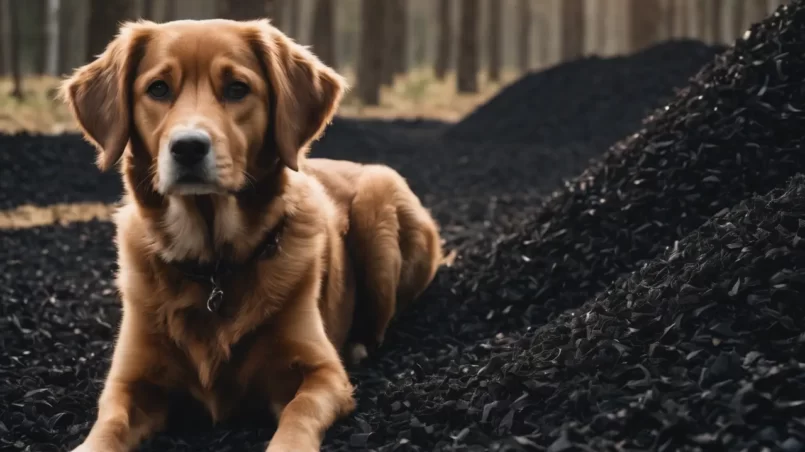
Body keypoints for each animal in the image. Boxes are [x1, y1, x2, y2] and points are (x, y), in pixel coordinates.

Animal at [59, 18, 442, 452]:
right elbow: (106, 428)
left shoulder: (322, 373)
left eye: (237, 88)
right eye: (158, 88)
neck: (213, 266)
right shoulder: (129, 384)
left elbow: (298, 414)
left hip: (378, 201)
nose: (188, 147)